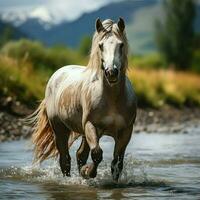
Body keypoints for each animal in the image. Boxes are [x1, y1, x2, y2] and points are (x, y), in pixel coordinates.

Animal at [31, 18, 138, 182]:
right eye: (100, 45)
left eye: (121, 45)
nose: (111, 72)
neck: (112, 99)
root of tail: (56, 74)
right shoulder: (90, 125)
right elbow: (97, 154)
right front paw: (87, 172)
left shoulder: (126, 131)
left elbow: (117, 163)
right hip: (60, 129)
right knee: (65, 159)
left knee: (80, 154)